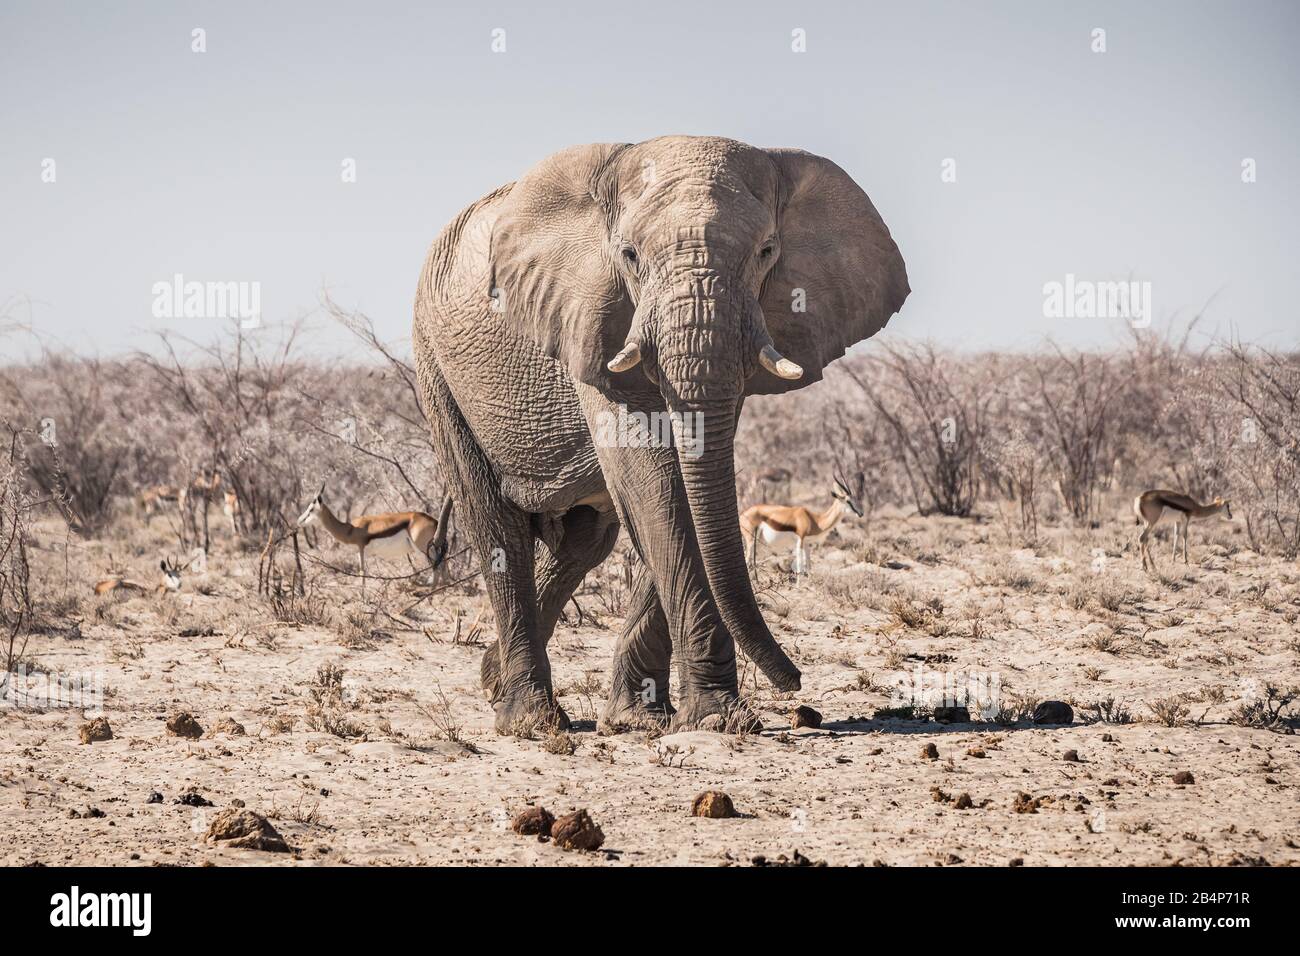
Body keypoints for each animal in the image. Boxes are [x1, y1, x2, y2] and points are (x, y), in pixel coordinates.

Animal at [297, 486, 449, 590]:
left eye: (311, 509)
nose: (299, 521)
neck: (351, 528)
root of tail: (435, 520)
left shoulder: (361, 548)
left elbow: (362, 571)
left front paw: (363, 599)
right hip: (435, 548)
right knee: (443, 565)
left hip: (423, 549)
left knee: (437, 567)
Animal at [410, 134, 909, 738]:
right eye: (628, 255)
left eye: (767, 251)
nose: (795, 684)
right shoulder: (592, 317)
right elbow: (656, 482)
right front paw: (717, 717)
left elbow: (683, 488)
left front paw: (644, 719)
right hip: (436, 367)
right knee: (497, 528)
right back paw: (531, 720)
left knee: (585, 541)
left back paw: (494, 682)